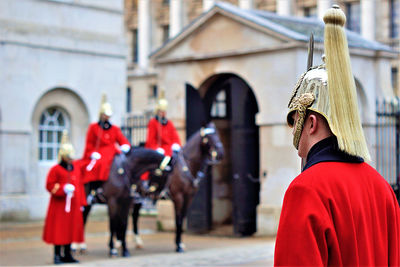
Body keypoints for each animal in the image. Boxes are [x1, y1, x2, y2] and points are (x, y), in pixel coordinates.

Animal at [132, 123, 223, 253]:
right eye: (208, 137)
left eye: (218, 134)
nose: (221, 153)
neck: (185, 166)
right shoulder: (178, 197)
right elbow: (178, 220)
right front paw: (179, 246)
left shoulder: (189, 197)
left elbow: (182, 218)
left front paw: (179, 243)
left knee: (134, 216)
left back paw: (138, 242)